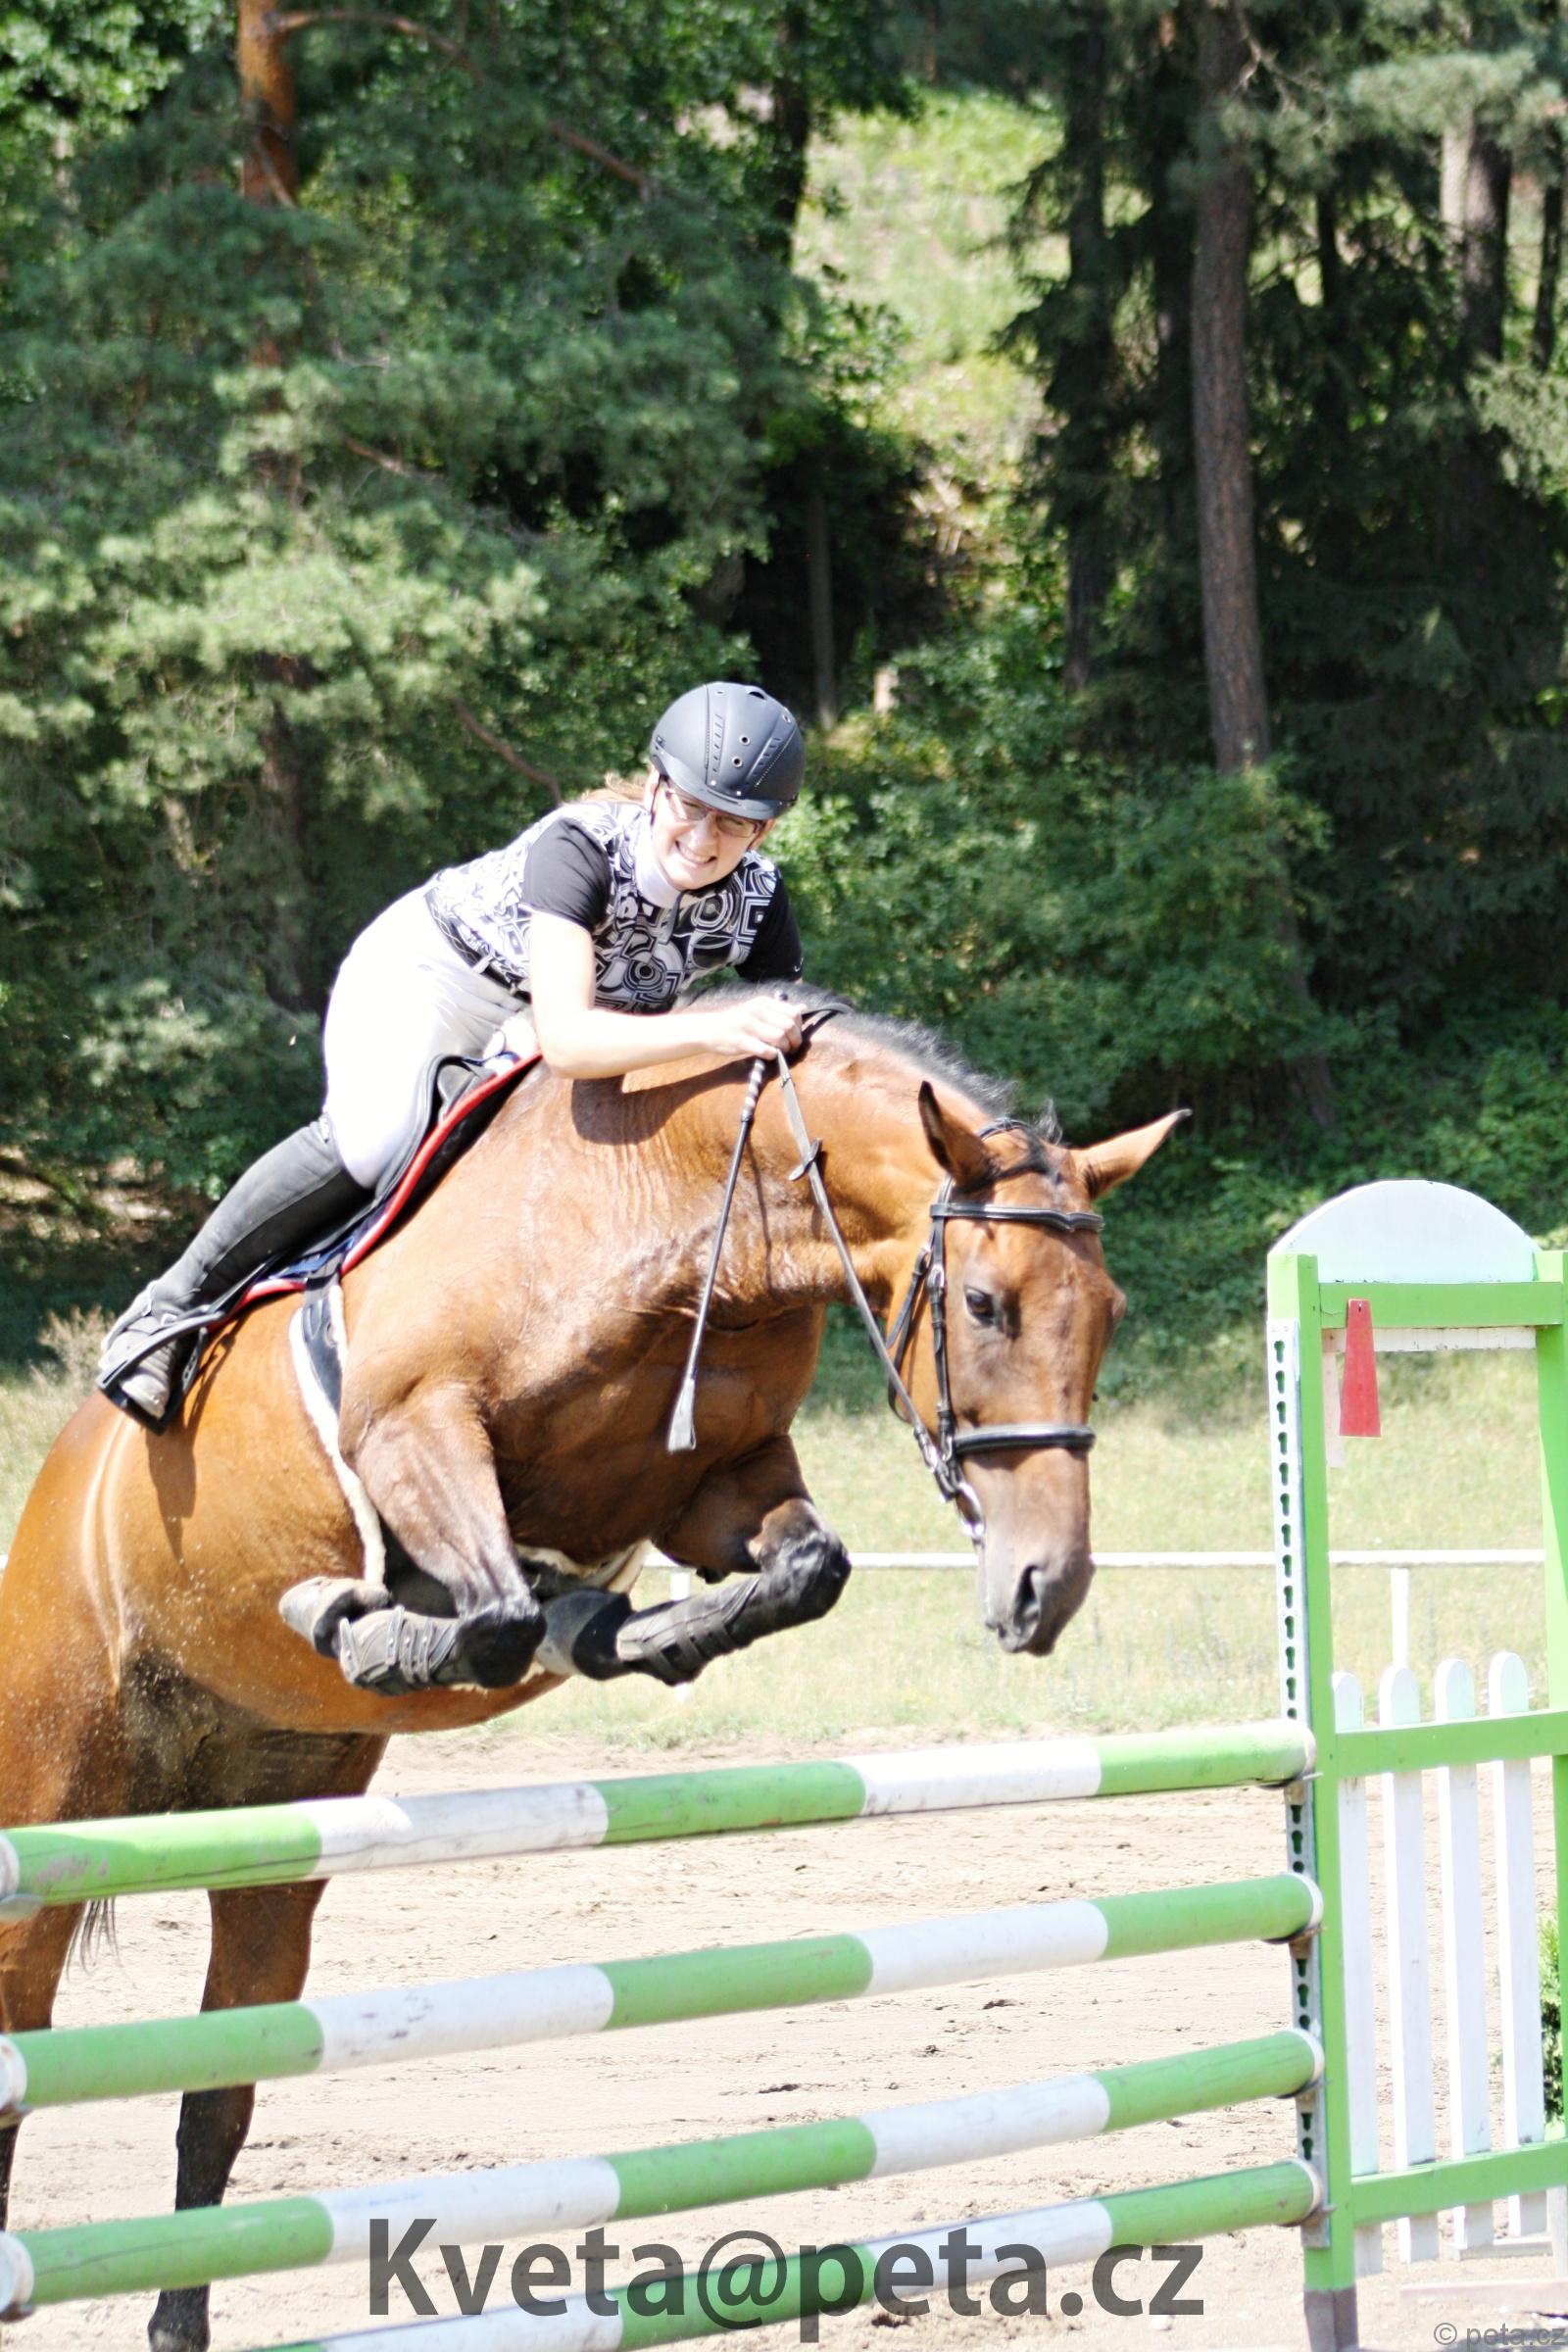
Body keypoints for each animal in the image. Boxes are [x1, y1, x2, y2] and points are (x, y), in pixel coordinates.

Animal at [0, 997, 1180, 2352]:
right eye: (985, 1304)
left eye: (1110, 1311)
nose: (1046, 1583)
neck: (671, 1219)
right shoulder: (415, 1430)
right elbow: (493, 1613)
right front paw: (367, 1623)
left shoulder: (718, 1483)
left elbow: (800, 1568)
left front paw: (627, 1632)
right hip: (52, 1798)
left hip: (274, 1848)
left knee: (217, 2097)